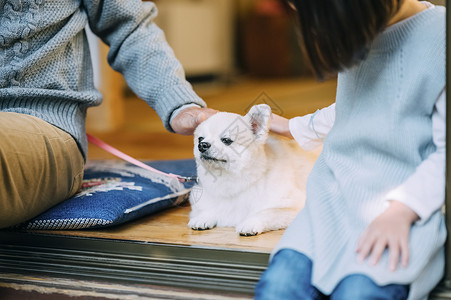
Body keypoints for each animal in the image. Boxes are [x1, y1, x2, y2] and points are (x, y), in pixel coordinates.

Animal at [187, 104, 318, 236]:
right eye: (200, 139)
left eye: (226, 140)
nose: (202, 145)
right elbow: (209, 209)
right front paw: (202, 217)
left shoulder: (291, 208)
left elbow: (265, 213)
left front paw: (250, 223)